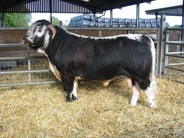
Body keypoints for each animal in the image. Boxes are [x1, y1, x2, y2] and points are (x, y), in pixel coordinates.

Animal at [21, 19, 157, 108]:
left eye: (39, 29)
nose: (25, 39)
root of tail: (143, 37)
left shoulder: (66, 72)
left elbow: (68, 89)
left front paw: (68, 101)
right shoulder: (73, 74)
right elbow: (74, 88)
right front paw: (75, 99)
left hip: (142, 75)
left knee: (149, 90)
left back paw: (153, 107)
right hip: (133, 76)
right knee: (136, 90)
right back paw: (132, 105)